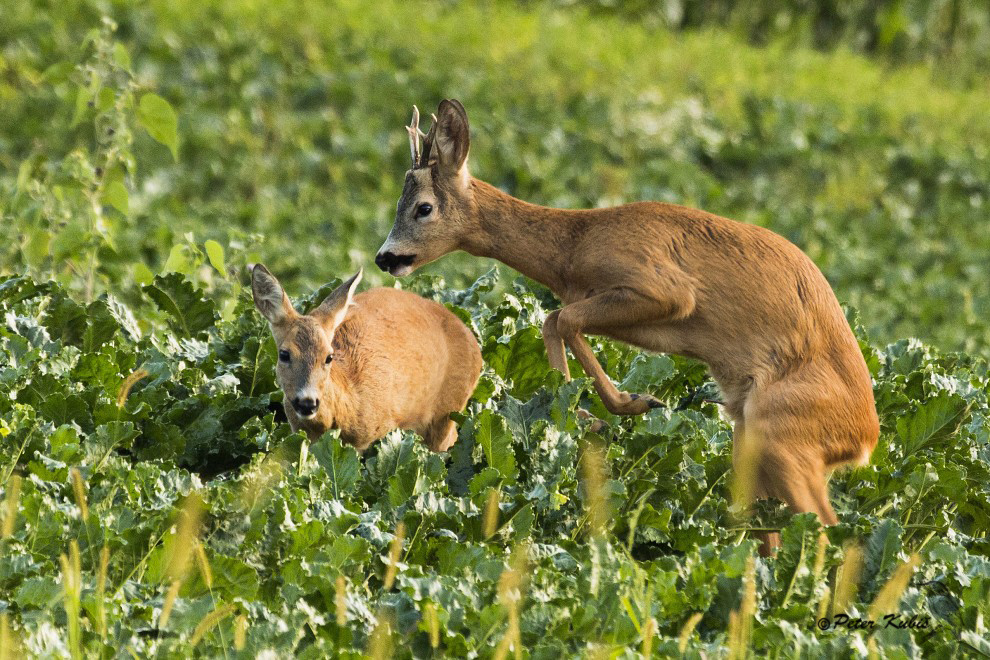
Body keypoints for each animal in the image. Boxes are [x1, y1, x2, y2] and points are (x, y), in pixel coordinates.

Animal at [376, 99, 880, 552]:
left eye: (423, 208)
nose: (384, 257)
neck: (575, 247)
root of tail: (865, 439)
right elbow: (554, 320)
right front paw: (578, 414)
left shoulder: (664, 291)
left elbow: (562, 319)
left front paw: (622, 406)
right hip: (750, 439)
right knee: (768, 525)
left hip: (782, 429)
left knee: (824, 527)